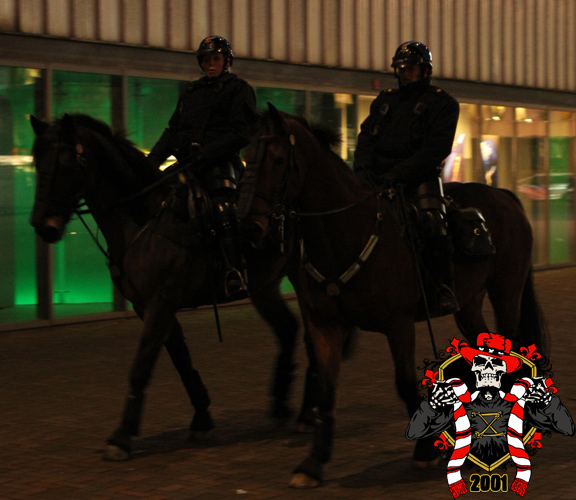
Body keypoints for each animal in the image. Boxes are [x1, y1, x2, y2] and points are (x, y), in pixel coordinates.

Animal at [29, 113, 309, 461]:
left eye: (67, 163)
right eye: (37, 162)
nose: (43, 226)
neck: (145, 217)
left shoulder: (160, 303)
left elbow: (142, 364)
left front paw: (121, 437)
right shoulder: (150, 306)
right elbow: (180, 359)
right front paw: (201, 418)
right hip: (264, 286)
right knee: (287, 329)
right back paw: (281, 404)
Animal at [240, 103, 549, 488]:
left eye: (279, 159)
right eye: (245, 157)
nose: (251, 227)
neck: (346, 232)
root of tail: (505, 196)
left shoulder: (398, 324)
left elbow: (404, 384)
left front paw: (426, 451)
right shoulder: (325, 325)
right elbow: (326, 391)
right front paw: (312, 462)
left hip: (507, 292)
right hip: (468, 304)